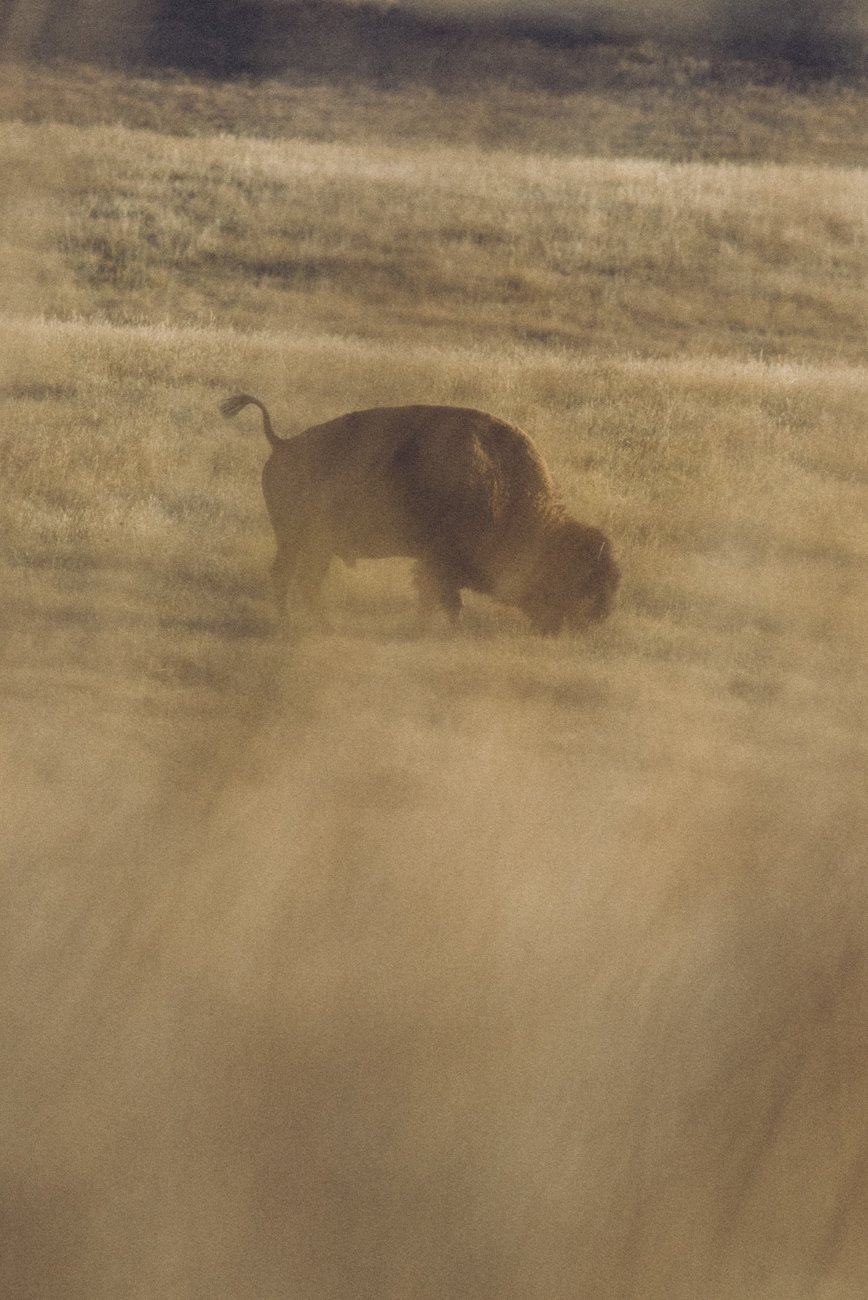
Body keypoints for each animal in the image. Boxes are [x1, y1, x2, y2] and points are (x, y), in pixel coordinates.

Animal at [220, 395, 621, 639]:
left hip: (314, 545)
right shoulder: (438, 561)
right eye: (582, 583)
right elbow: (443, 599)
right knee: (289, 577)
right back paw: (297, 627)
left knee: (301, 580)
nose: (593, 622)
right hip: (298, 538)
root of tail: (282, 443)